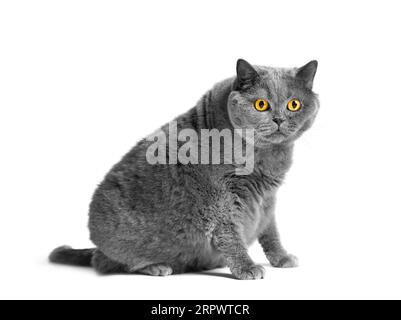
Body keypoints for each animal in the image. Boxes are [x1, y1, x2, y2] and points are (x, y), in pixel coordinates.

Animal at [50, 58, 318, 278]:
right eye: (261, 104)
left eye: (294, 105)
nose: (279, 119)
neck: (264, 156)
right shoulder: (223, 199)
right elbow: (230, 234)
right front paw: (246, 267)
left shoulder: (267, 198)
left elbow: (270, 231)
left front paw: (281, 257)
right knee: (111, 262)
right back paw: (156, 266)